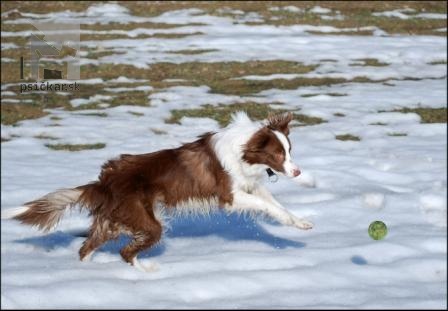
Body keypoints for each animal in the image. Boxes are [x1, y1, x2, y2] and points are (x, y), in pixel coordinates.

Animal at [3, 111, 314, 270]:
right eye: (278, 154)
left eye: (289, 150)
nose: (298, 172)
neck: (243, 150)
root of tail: (104, 182)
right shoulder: (230, 196)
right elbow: (268, 206)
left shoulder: (250, 186)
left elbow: (278, 207)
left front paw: (299, 223)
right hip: (146, 223)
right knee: (125, 253)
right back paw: (144, 276)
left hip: (113, 222)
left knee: (86, 248)